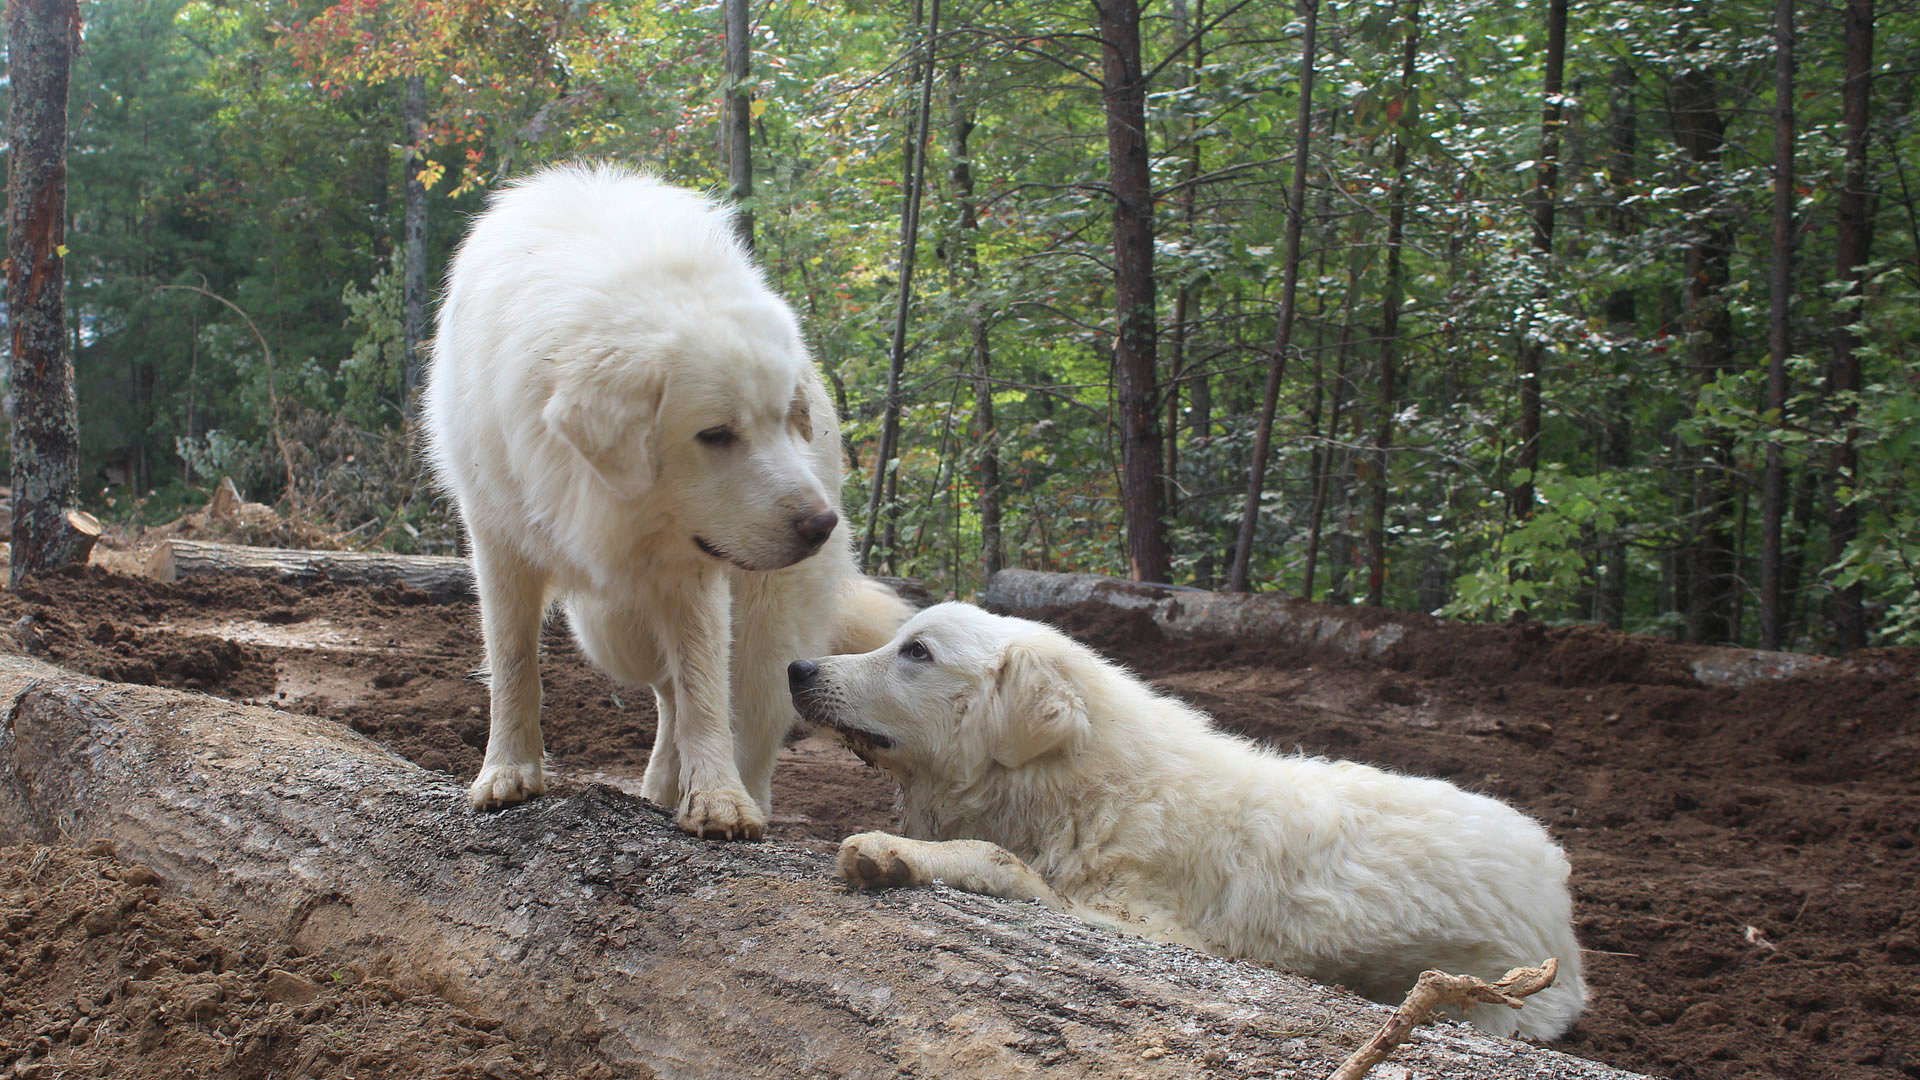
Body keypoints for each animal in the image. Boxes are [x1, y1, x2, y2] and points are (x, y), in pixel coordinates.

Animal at [428, 161, 906, 834]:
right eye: (716, 434)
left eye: (784, 419)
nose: (822, 526)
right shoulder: (499, 545)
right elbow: (514, 664)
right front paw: (507, 772)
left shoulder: (695, 572)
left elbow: (705, 689)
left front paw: (719, 800)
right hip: (611, 631)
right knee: (665, 690)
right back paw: (659, 784)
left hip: (764, 626)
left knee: (752, 710)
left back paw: (744, 793)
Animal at [787, 607, 1582, 1037]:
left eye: (916, 652)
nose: (797, 668)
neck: (1083, 785)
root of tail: (1560, 885)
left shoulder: (1153, 927)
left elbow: (992, 856)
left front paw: (895, 852)